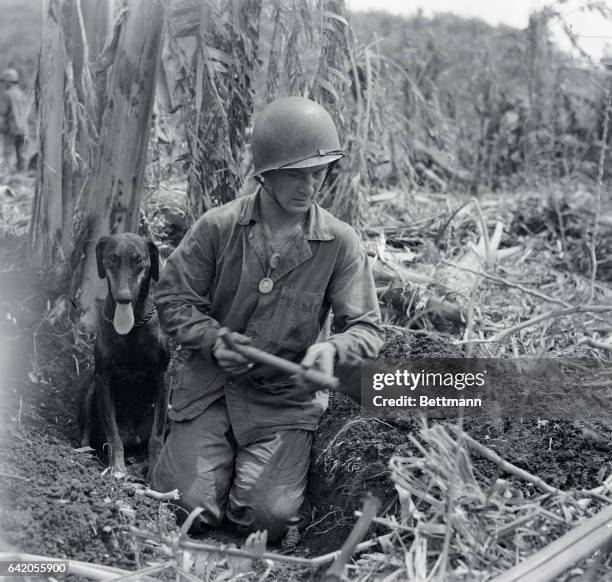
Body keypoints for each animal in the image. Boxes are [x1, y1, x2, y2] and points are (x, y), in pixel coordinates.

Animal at [79, 233, 170, 480]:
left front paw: (154, 471)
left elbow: (157, 435)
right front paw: (117, 468)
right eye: (112, 258)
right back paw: (85, 452)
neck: (132, 327)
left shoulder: (163, 376)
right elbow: (113, 433)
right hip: (90, 388)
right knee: (88, 429)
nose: (124, 298)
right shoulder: (104, 378)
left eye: (139, 260)